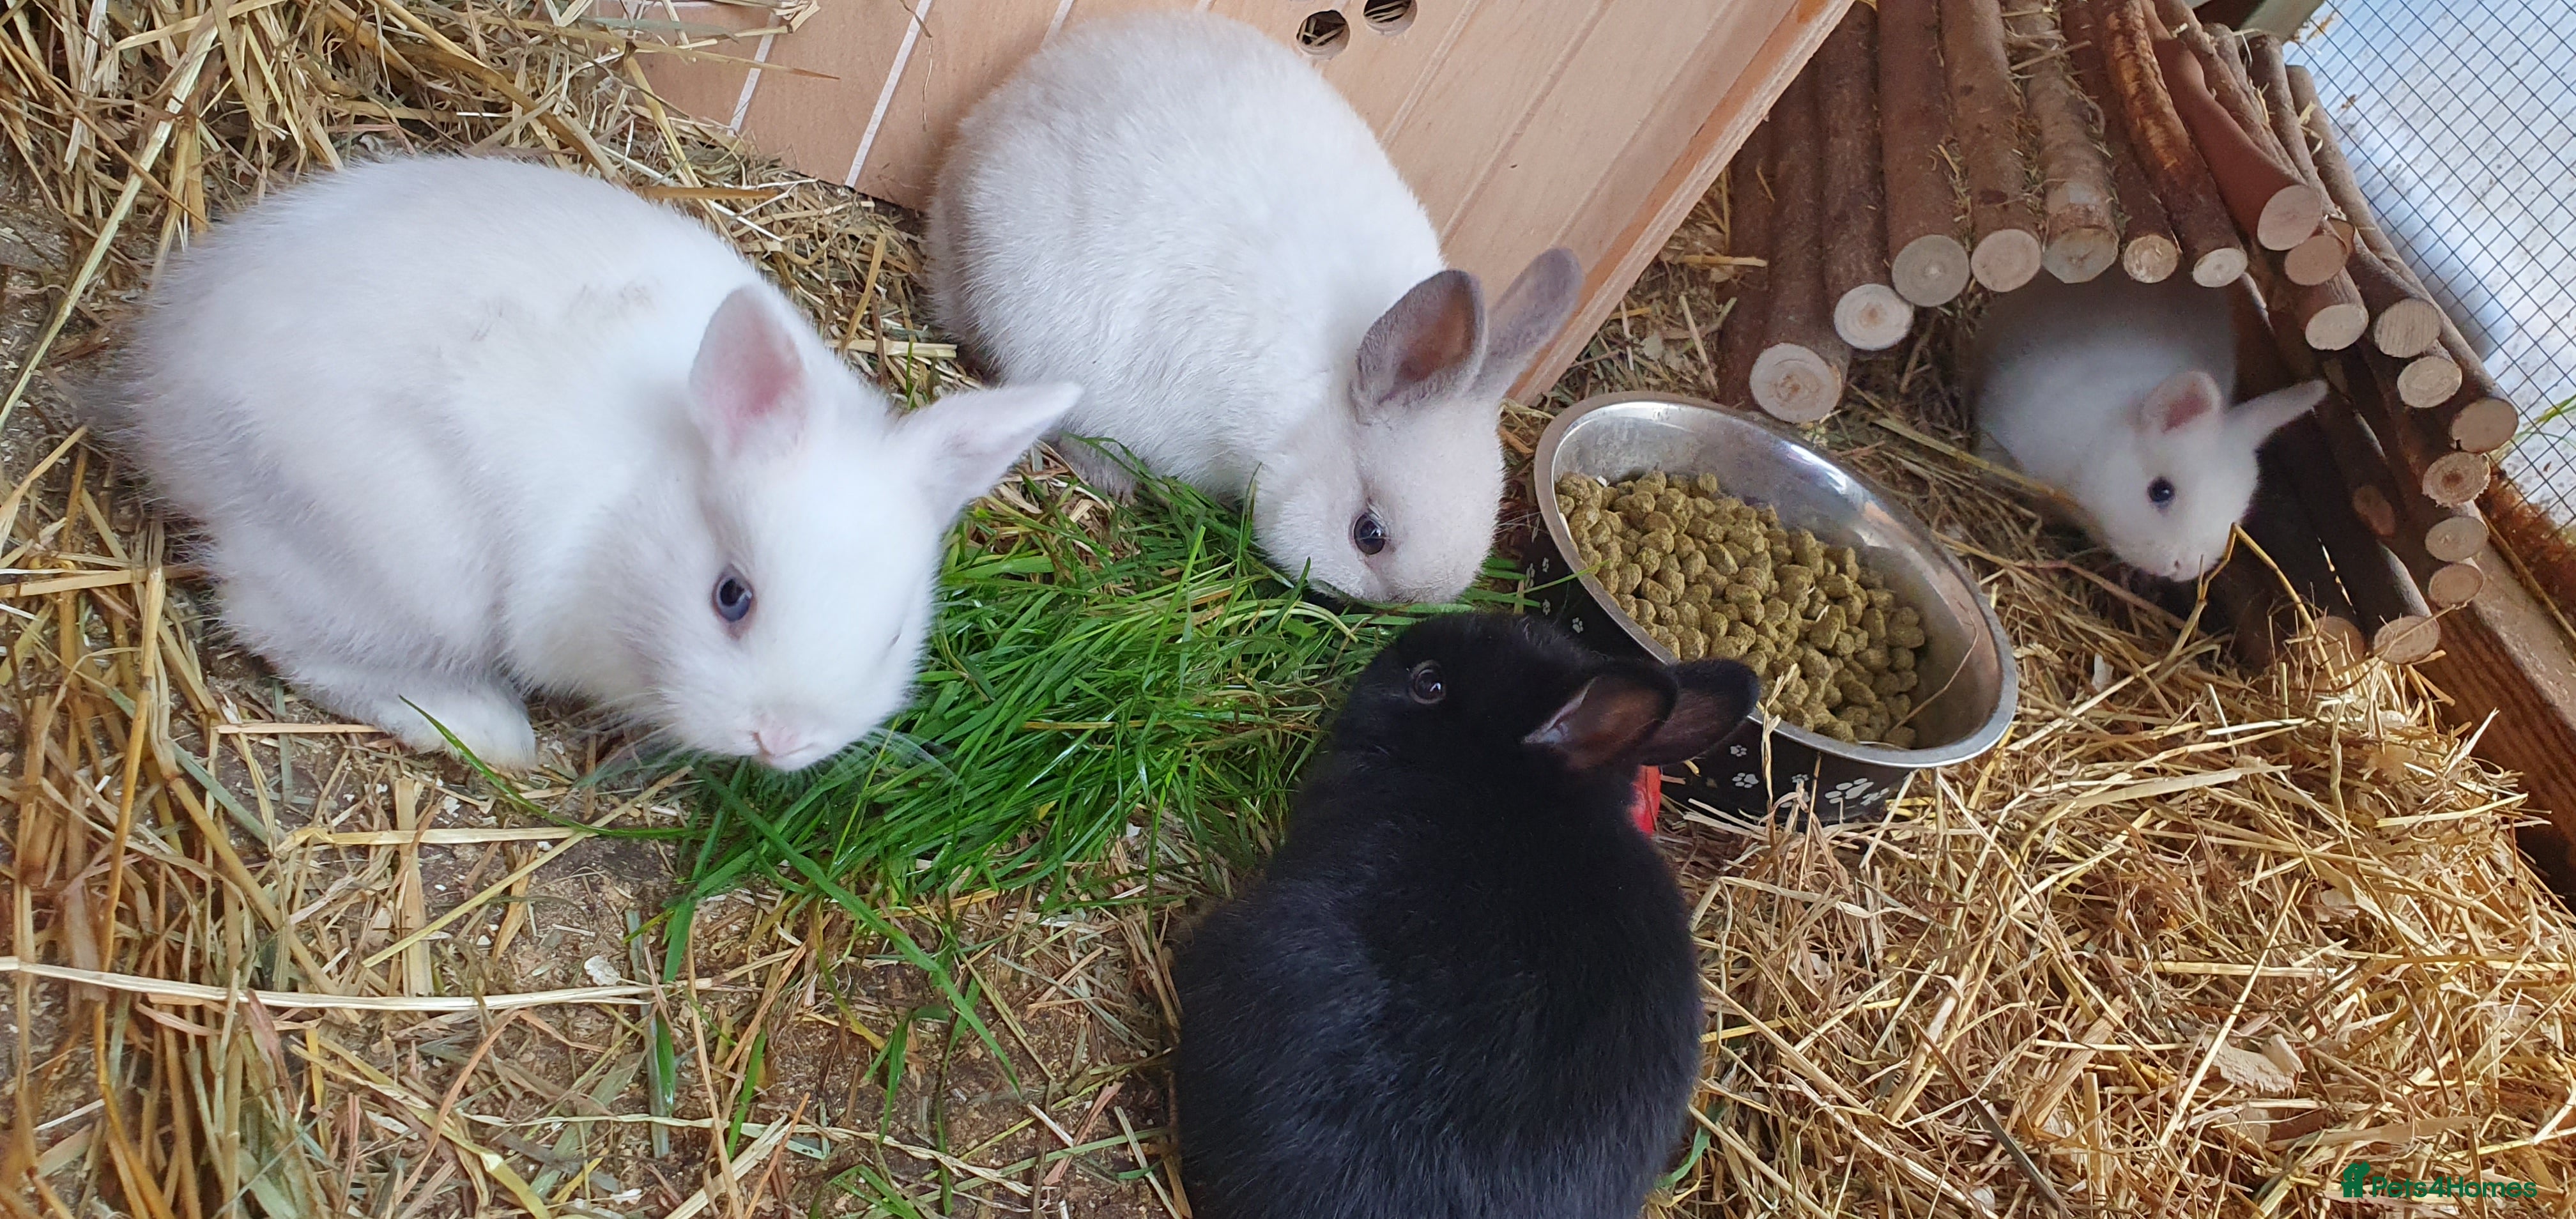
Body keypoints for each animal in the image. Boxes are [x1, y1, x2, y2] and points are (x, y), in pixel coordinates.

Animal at [103, 156, 1078, 772]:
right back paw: (486, 731)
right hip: (404, 563)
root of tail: (161, 386)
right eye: (731, 598)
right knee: (284, 630)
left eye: (890, 637)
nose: (778, 739)